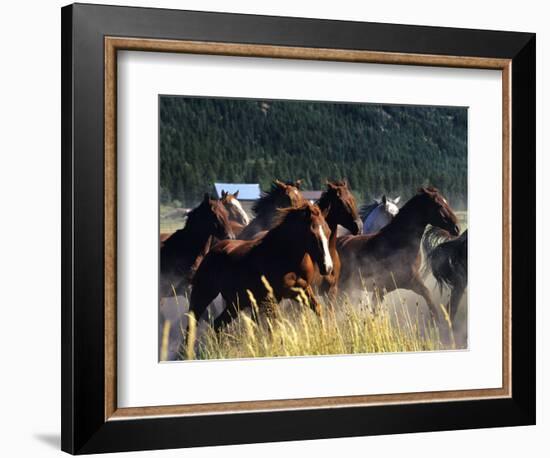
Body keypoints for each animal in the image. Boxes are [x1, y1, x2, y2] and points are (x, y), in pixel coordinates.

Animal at [190, 202, 334, 334]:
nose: (327, 267)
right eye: (312, 233)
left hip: (236, 302)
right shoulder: (271, 300)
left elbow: (318, 309)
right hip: (203, 295)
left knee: (218, 325)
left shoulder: (303, 290)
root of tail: (213, 250)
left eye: (328, 232)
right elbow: (274, 328)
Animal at [336, 187, 462, 322]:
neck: (398, 242)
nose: (457, 228)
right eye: (439, 205)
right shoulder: (399, 283)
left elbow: (429, 298)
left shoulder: (400, 284)